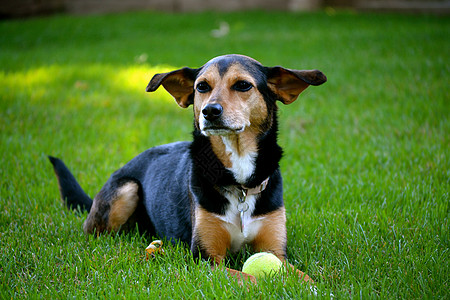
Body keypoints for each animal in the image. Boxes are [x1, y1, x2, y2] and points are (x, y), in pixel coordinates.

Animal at [49, 54, 326, 284]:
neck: (239, 181)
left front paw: (309, 286)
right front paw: (267, 285)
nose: (210, 111)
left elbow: (304, 276)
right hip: (125, 190)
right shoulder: (205, 258)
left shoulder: (276, 251)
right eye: (202, 86)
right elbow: (247, 277)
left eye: (243, 85)